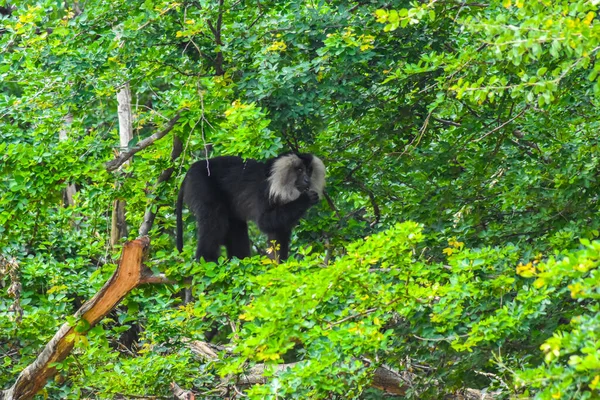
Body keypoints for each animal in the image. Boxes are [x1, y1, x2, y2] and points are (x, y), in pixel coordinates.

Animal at [177, 152, 326, 262]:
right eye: (299, 170)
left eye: (309, 170)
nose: (307, 180)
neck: (275, 180)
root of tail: (191, 170)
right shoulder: (264, 192)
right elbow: (265, 222)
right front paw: (306, 199)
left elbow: (278, 232)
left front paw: (279, 265)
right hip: (200, 182)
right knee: (214, 220)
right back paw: (206, 259)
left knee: (236, 225)